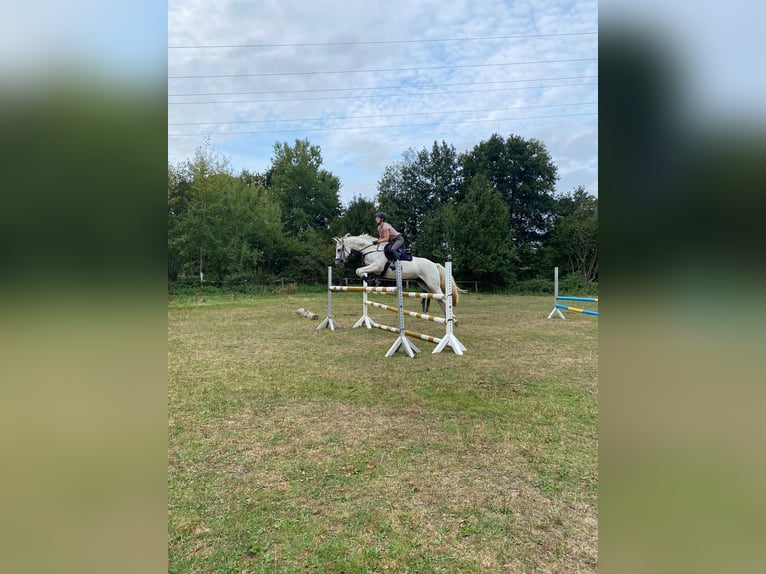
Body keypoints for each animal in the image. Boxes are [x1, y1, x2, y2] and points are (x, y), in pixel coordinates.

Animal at [333, 234, 463, 317]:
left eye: (339, 249)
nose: (337, 263)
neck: (371, 250)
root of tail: (434, 264)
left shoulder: (377, 267)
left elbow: (359, 271)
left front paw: (371, 281)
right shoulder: (372, 267)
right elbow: (359, 271)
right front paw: (372, 280)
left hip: (432, 284)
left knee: (443, 298)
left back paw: (452, 318)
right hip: (425, 284)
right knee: (439, 299)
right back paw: (449, 318)